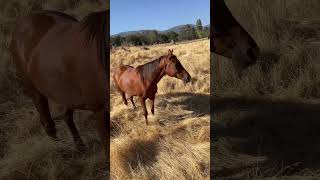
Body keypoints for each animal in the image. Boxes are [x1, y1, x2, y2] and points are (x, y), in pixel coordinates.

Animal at [10, 9, 110, 158]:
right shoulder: (100, 110)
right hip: (35, 92)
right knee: (48, 124)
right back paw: (60, 152)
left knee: (67, 116)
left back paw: (80, 147)